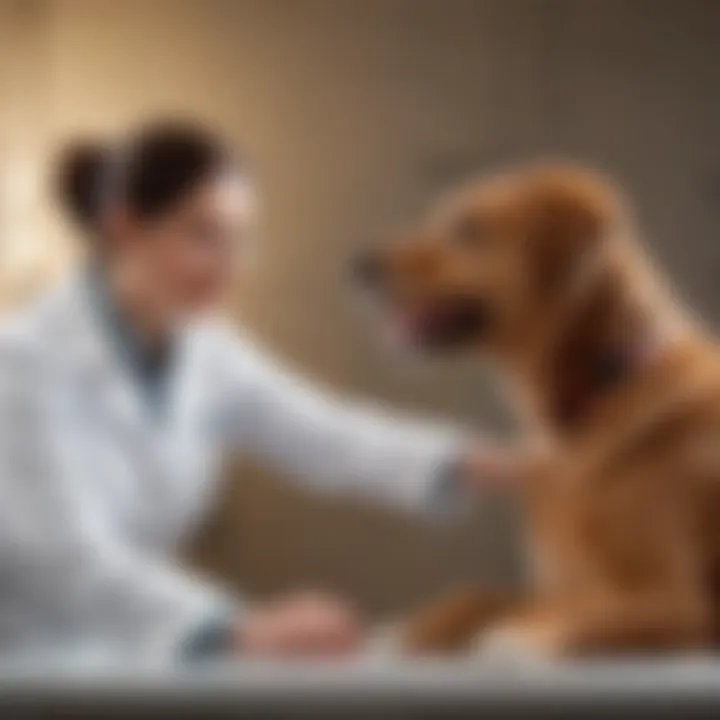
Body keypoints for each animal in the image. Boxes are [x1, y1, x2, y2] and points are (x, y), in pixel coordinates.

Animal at [358, 165, 720, 660]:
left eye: (470, 228)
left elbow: (581, 618)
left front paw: (519, 637)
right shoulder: (562, 583)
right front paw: (422, 627)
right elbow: (480, 595)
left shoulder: (677, 600)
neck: (597, 389)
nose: (358, 266)